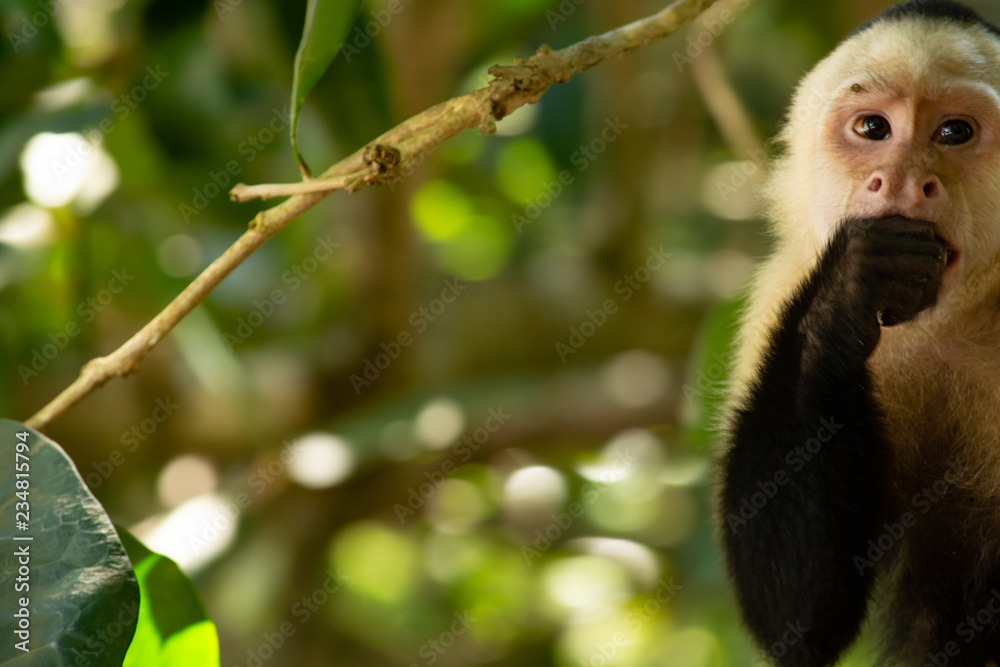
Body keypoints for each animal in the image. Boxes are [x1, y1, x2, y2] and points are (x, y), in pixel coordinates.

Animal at [716, 1, 1000, 665]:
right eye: (873, 129)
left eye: (955, 133)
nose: (901, 179)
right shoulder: (777, 292)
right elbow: (800, 614)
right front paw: (849, 290)